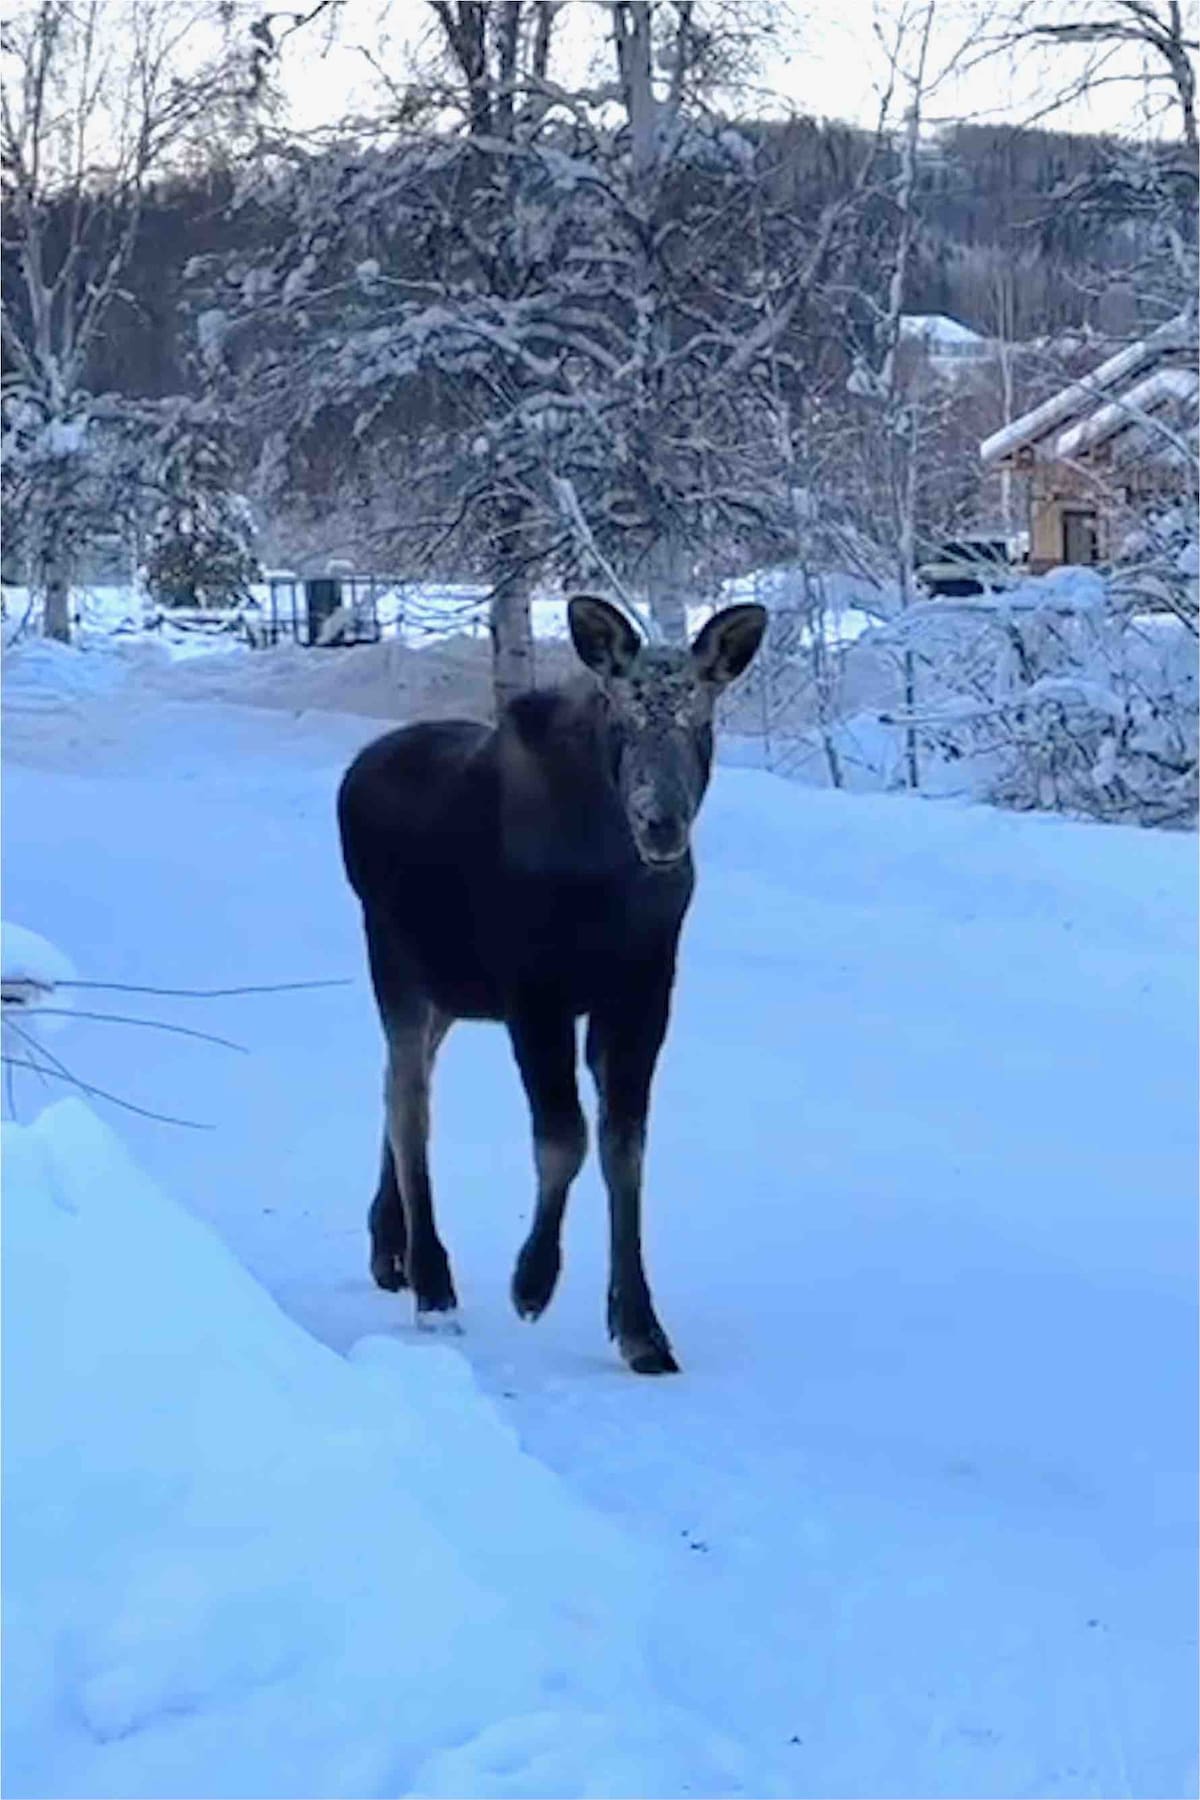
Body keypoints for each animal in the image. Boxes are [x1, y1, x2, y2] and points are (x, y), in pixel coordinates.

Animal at [338, 597, 770, 1368]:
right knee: (411, 1104)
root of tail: (353, 777)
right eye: (623, 717)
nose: (661, 824)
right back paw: (433, 1282)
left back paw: (390, 1249)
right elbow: (564, 1138)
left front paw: (639, 1326)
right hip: (395, 966)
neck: (614, 880)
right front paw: (532, 1282)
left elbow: (624, 1144)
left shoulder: (642, 992)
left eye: (701, 717)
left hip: (447, 992)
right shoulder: (534, 992)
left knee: (394, 1086)